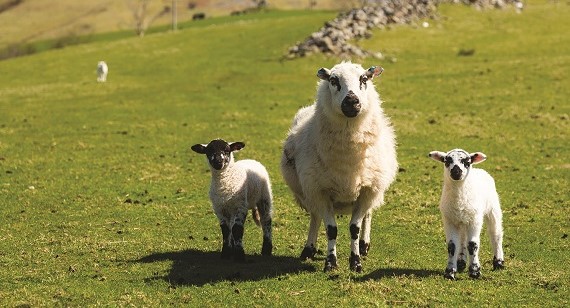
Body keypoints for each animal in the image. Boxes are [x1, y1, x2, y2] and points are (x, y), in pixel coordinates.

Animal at [278, 60, 394, 272]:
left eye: (363, 79)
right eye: (333, 80)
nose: (351, 101)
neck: (347, 160)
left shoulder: (367, 190)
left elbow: (355, 227)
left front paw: (356, 261)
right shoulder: (320, 191)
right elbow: (331, 229)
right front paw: (331, 262)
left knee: (368, 215)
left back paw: (364, 244)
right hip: (308, 191)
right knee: (315, 217)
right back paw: (309, 249)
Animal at [428, 148, 504, 280]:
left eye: (467, 162)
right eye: (447, 161)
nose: (456, 172)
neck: (459, 199)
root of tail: (480, 170)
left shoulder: (475, 220)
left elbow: (472, 244)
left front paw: (474, 272)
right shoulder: (449, 220)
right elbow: (452, 246)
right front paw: (450, 272)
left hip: (493, 209)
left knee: (496, 235)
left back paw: (498, 263)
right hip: (462, 220)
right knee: (462, 239)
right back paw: (461, 262)